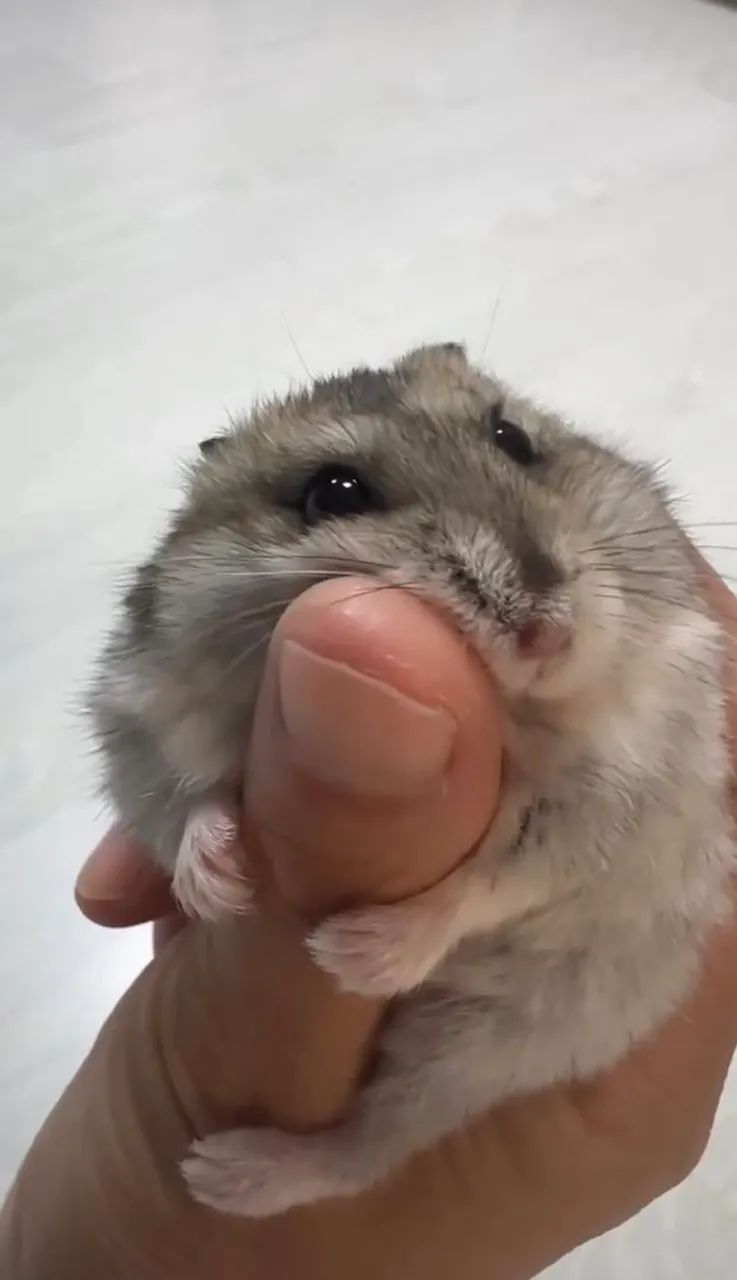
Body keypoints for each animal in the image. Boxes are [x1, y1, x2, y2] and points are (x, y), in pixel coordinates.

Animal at [89, 342, 734, 1217]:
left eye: (512, 438)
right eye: (333, 493)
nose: (547, 629)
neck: (521, 711)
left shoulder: (615, 797)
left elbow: (497, 882)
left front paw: (352, 953)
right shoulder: (140, 721)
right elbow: (182, 805)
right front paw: (219, 889)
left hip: (472, 1051)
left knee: (366, 1151)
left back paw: (221, 1175)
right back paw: (215, 1173)